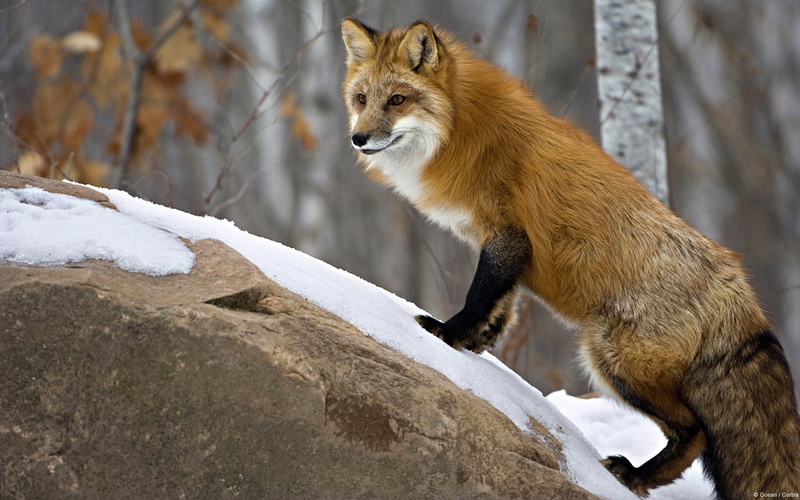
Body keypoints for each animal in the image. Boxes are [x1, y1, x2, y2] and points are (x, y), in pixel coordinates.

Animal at [341, 17, 800, 499]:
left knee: (695, 432)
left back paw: (636, 476)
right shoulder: (505, 247)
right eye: (362, 99)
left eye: (397, 100)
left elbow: (478, 297)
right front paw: (477, 341)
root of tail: (737, 285)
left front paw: (447, 334)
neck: (461, 130)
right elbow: (502, 305)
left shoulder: (507, 236)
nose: (358, 137)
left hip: (613, 360)